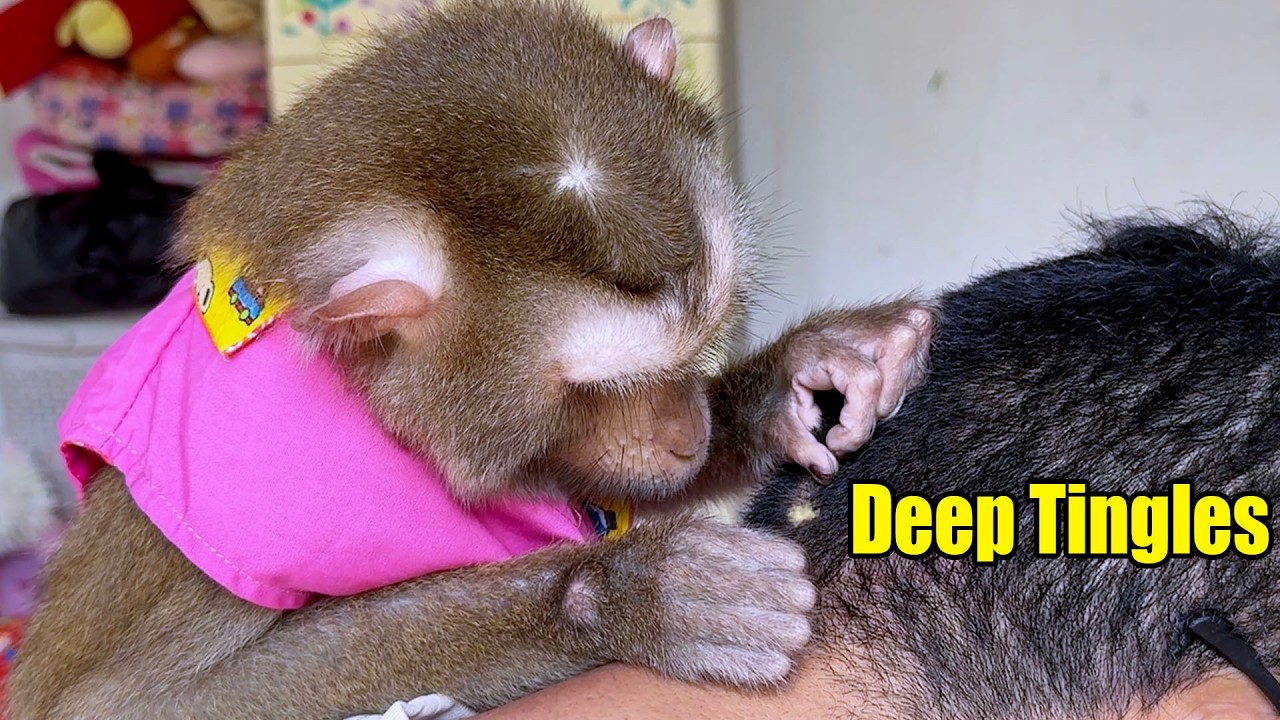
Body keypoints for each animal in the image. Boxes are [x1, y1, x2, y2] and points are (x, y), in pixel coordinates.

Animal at [6, 2, 932, 719]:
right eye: (597, 388)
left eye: (698, 340)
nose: (687, 435)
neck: (373, 404)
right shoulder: (235, 512)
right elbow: (119, 706)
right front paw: (630, 593)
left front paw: (800, 378)